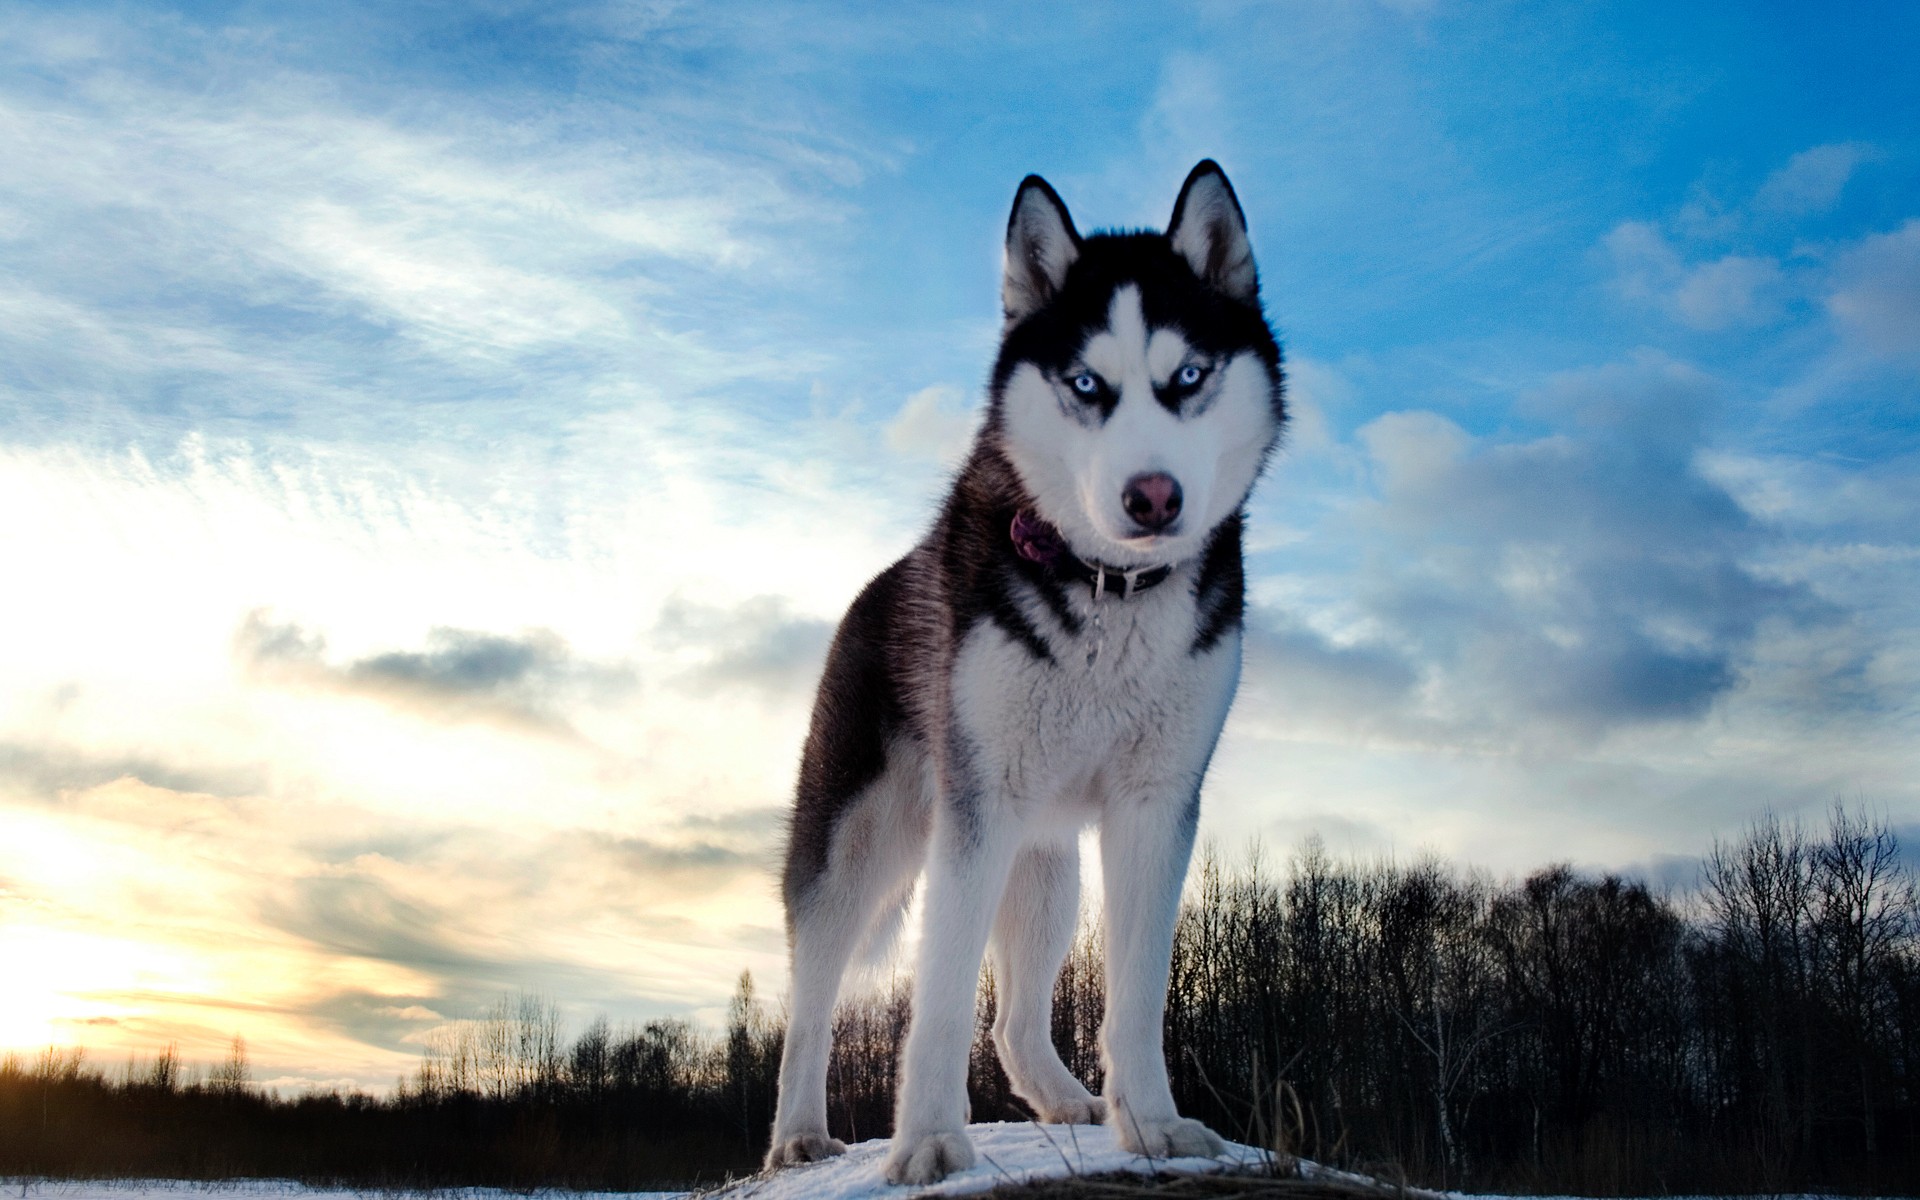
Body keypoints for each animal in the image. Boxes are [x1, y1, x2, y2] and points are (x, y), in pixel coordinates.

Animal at [760, 161, 1274, 1190]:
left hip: (1045, 863)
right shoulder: (977, 807)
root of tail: (875, 586)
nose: (1152, 497)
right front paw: (926, 1141)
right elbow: (939, 996)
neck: (1107, 591)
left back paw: (1065, 1100)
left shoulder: (1156, 805)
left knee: (1013, 1015)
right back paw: (797, 1134)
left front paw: (1152, 1125)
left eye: (1188, 377)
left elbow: (1137, 994)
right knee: (815, 995)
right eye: (1086, 384)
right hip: (860, 844)